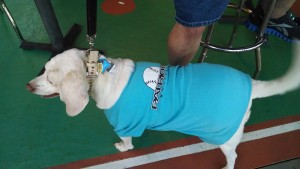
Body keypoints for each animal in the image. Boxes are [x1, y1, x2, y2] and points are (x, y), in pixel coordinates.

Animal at [27, 44, 298, 169]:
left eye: (51, 79)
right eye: (44, 69)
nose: (28, 86)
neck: (100, 72)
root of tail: (251, 84)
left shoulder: (124, 126)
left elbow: (127, 144)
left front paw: (122, 148)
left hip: (226, 138)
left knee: (234, 156)